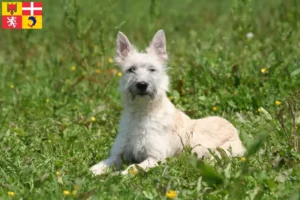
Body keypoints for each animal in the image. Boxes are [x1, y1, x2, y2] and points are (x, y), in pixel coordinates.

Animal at [90, 29, 245, 175]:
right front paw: (93, 172)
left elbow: (132, 168)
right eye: (131, 69)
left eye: (152, 69)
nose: (142, 85)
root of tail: (235, 129)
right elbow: (104, 163)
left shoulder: (155, 157)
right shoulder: (118, 155)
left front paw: (119, 175)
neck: (142, 112)